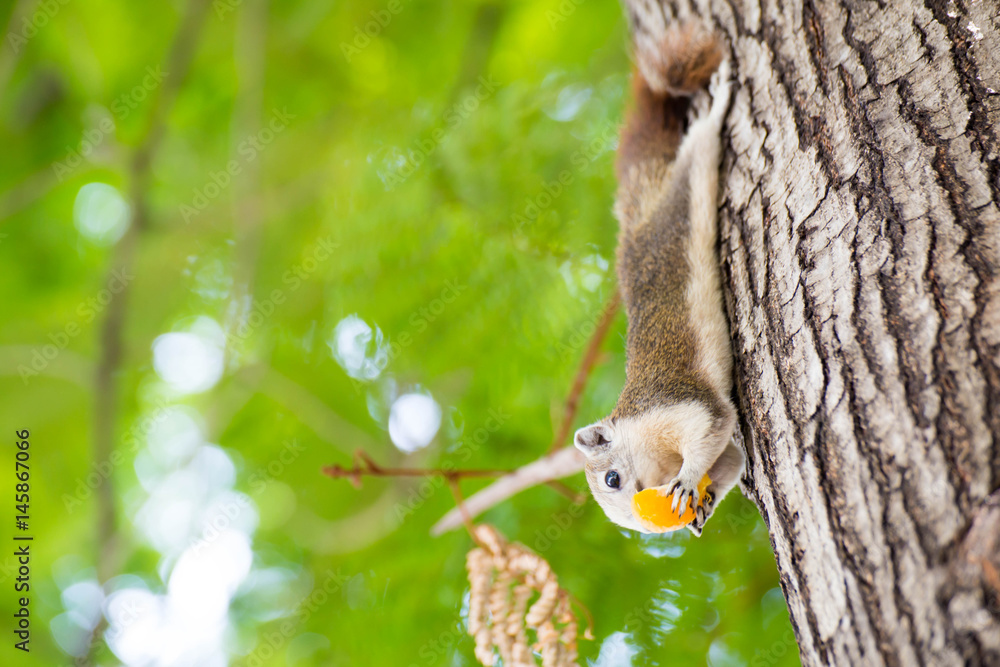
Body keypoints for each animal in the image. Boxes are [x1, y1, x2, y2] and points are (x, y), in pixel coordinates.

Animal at [574, 24, 745, 536]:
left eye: (611, 478)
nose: (649, 525)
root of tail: (635, 227)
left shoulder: (677, 407)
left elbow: (712, 423)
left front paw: (688, 479)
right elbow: (731, 458)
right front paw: (701, 509)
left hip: (679, 201)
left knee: (699, 148)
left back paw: (717, 103)